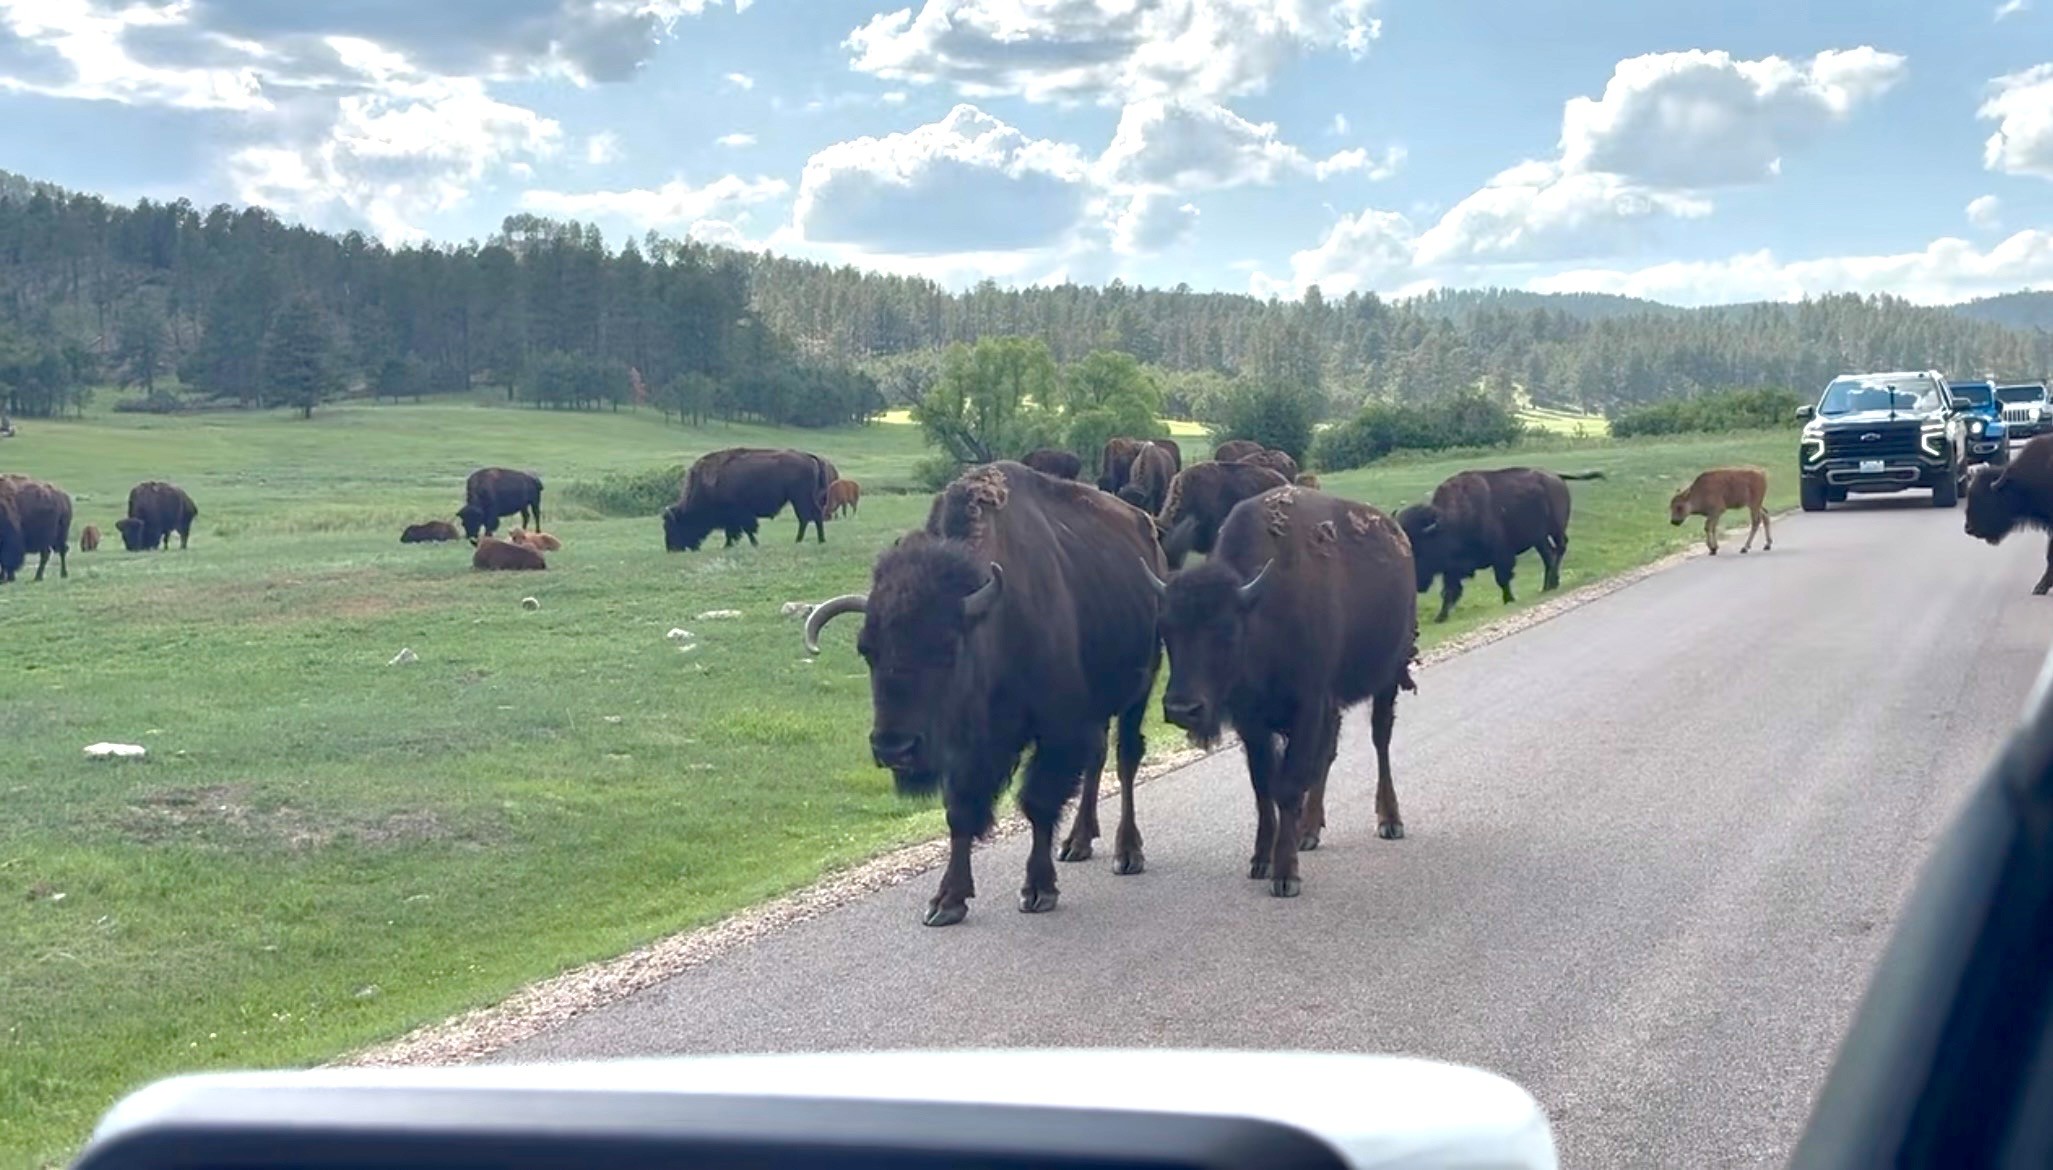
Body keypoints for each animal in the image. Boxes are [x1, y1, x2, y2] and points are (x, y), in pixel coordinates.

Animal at [663, 447, 831, 551]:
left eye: (672, 527)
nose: (672, 549)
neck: (708, 484)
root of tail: (808, 456)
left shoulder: (739, 514)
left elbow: (746, 529)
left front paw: (750, 544)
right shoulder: (732, 518)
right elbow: (734, 531)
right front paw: (729, 545)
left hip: (800, 497)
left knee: (810, 516)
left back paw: (813, 540)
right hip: (799, 499)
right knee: (807, 517)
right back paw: (805, 540)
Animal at [804, 462, 1164, 927]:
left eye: (946, 648)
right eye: (866, 649)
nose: (893, 748)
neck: (992, 623)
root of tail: (1146, 529)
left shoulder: (1057, 730)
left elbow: (1038, 803)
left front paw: (1038, 890)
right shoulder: (967, 747)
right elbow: (960, 811)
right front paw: (947, 900)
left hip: (1140, 688)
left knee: (1125, 759)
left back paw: (1127, 852)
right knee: (1098, 758)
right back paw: (1078, 843)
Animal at [1147, 486, 1418, 897]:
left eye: (1227, 630)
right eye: (1166, 629)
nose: (1182, 708)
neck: (1261, 610)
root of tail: (1398, 536)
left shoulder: (1308, 706)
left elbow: (1288, 786)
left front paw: (1286, 874)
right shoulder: (1253, 723)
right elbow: (1264, 787)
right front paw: (1261, 860)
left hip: (1388, 676)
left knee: (1380, 740)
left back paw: (1389, 820)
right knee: (1327, 755)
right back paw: (1309, 830)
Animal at [1398, 467, 1605, 623]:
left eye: (1419, 548)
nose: (1415, 583)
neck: (1449, 521)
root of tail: (1555, 476)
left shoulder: (1501, 555)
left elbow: (1502, 579)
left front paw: (1509, 600)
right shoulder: (1452, 569)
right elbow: (1449, 591)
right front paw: (1440, 617)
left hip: (1556, 529)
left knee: (1560, 549)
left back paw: (1552, 582)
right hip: (1539, 538)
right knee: (1549, 555)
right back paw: (1547, 587)